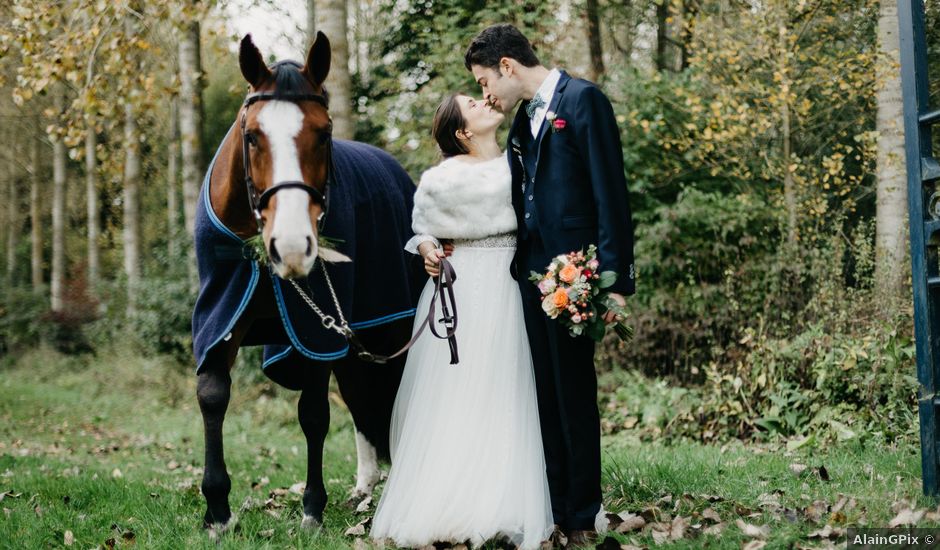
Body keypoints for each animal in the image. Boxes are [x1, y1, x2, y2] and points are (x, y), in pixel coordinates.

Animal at [191, 31, 422, 536]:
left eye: (325, 133)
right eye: (252, 136)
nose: (293, 247)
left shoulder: (313, 331)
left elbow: (314, 416)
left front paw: (312, 508)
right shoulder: (221, 315)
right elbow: (213, 396)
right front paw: (217, 508)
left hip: (390, 322)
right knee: (359, 392)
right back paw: (364, 485)